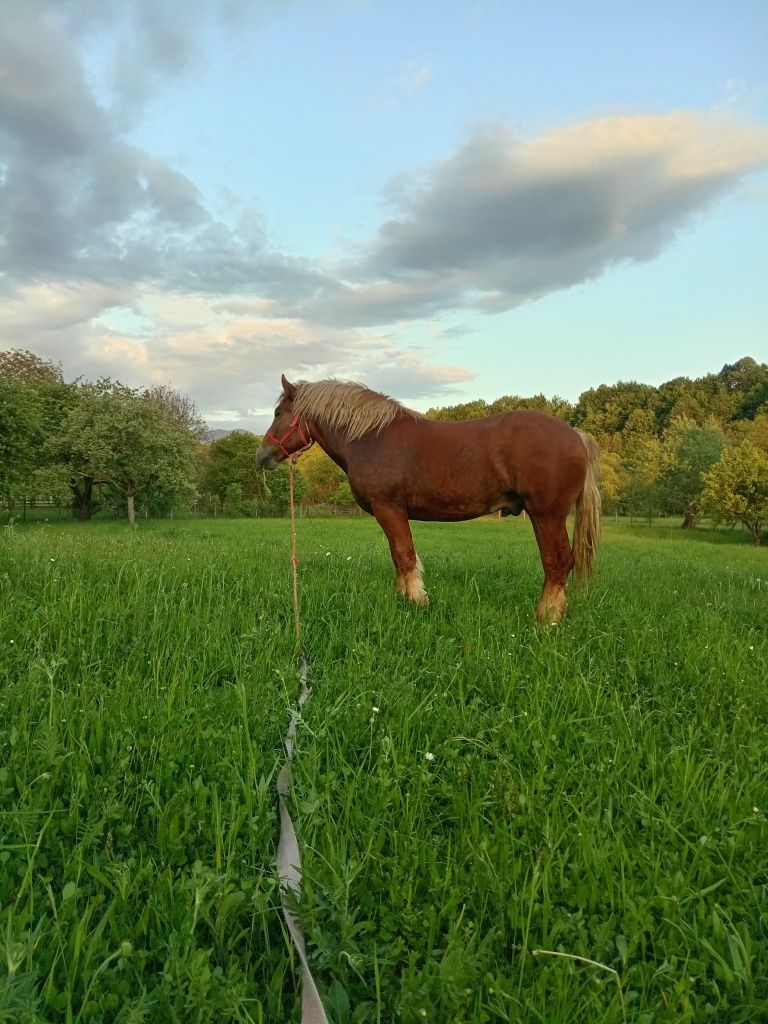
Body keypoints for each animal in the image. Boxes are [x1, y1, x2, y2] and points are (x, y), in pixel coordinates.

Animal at [259, 372, 602, 618]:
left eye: (278, 412)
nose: (262, 456)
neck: (369, 437)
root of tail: (576, 435)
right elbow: (398, 557)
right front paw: (404, 598)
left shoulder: (389, 508)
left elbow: (404, 554)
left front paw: (417, 601)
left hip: (547, 515)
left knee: (558, 562)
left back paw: (547, 619)